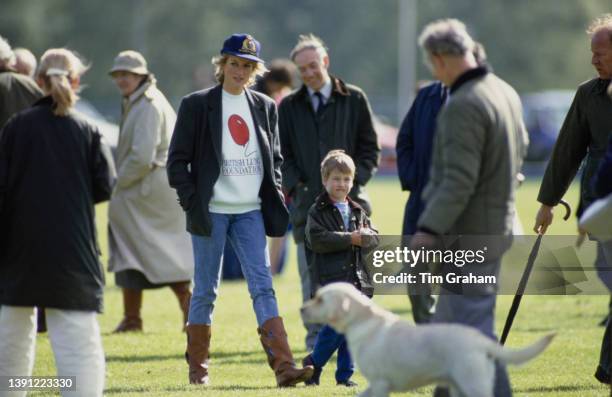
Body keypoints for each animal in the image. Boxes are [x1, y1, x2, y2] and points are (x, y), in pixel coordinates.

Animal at [302, 282, 556, 396]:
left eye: (321, 299)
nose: (301, 309)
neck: (364, 321)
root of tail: (478, 339)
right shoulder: (375, 384)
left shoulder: (381, 382)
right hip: (459, 386)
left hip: (472, 383)